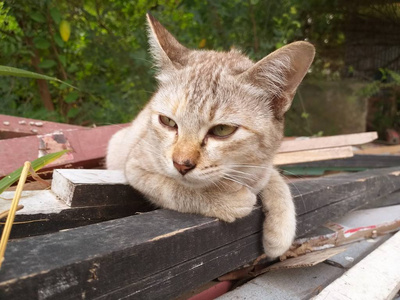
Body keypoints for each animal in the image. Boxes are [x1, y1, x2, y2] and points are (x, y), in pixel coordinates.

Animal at [107, 14, 316, 258]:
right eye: (168, 122)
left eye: (222, 130)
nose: (181, 164)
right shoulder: (135, 166)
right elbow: (172, 187)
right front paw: (224, 199)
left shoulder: (262, 167)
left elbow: (274, 179)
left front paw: (280, 232)